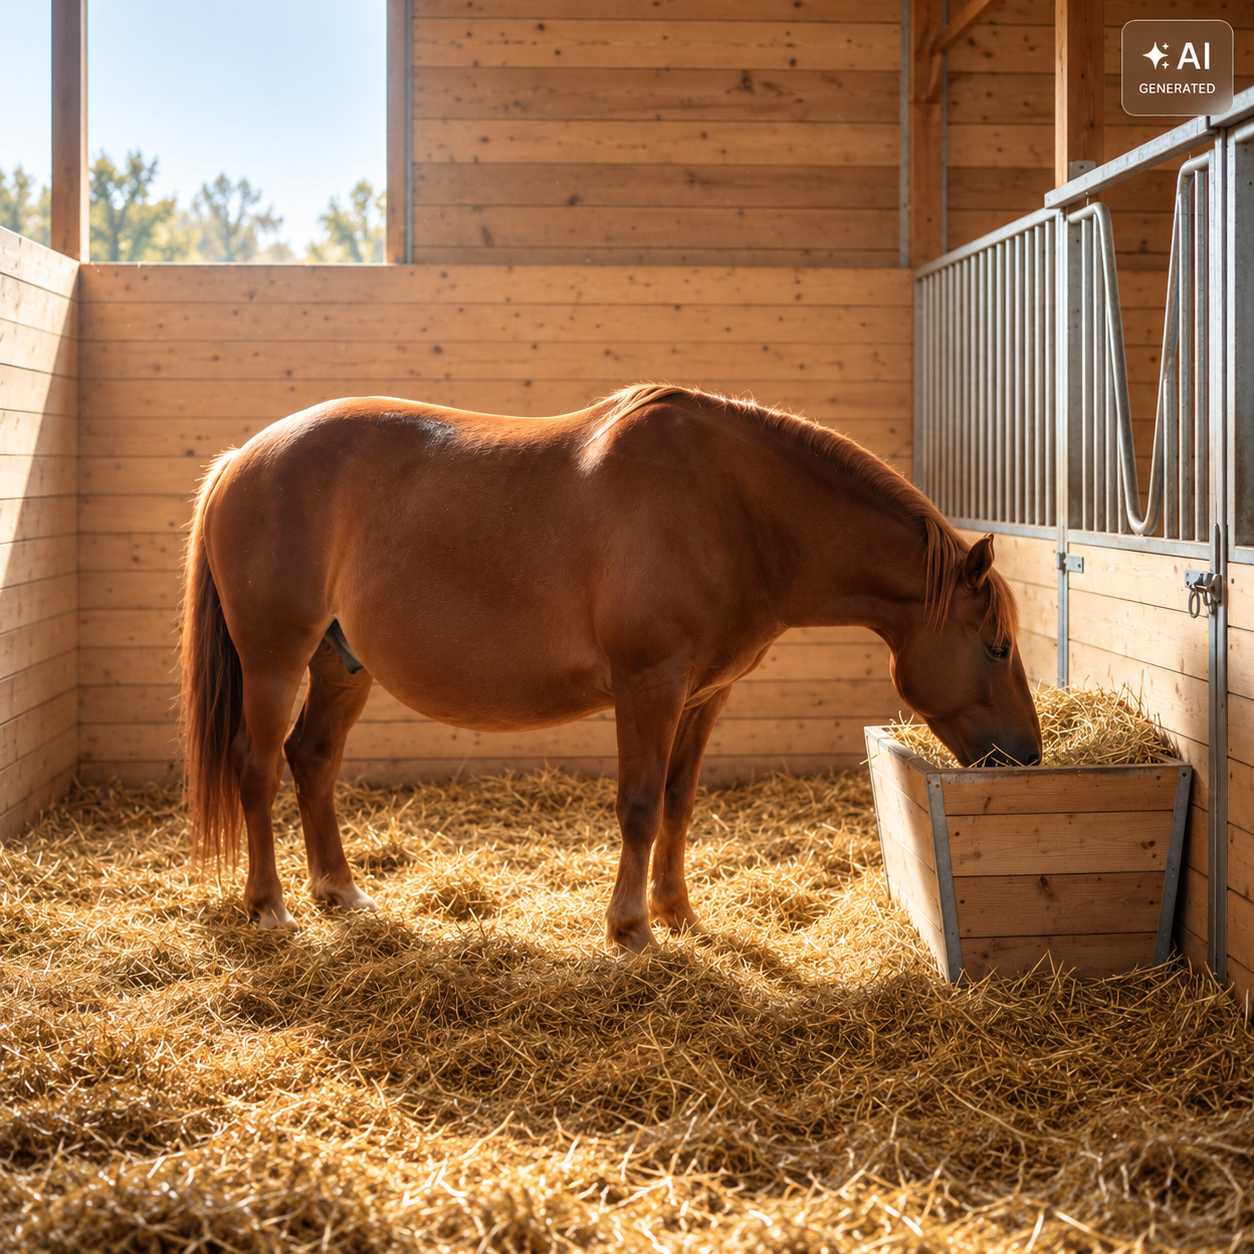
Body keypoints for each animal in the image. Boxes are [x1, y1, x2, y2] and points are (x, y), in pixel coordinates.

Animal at [180, 383, 1041, 951]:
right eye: (997, 645)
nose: (1028, 754)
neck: (735, 509)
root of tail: (241, 458)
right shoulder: (648, 685)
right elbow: (638, 805)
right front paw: (630, 930)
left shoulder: (704, 695)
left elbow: (679, 804)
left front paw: (678, 915)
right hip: (275, 660)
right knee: (258, 767)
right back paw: (269, 906)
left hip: (341, 666)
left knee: (313, 761)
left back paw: (341, 892)